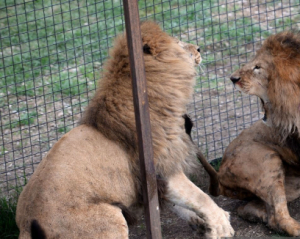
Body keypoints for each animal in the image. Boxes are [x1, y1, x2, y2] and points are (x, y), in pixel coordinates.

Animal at [15, 21, 233, 239]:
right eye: (179, 44)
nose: (198, 48)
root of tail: (25, 227)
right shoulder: (162, 168)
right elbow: (199, 196)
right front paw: (221, 224)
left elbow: (179, 203)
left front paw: (201, 223)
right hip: (109, 218)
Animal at [198, 30, 300, 236]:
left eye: (258, 67)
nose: (232, 78)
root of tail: (220, 172)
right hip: (267, 162)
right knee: (279, 217)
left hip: (293, 184)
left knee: (256, 211)